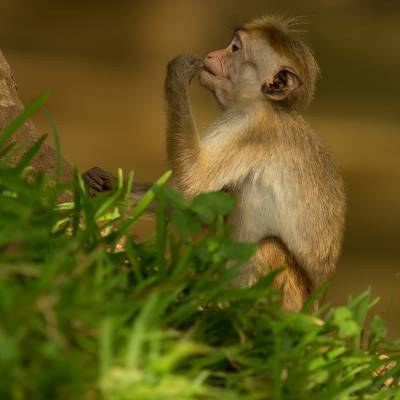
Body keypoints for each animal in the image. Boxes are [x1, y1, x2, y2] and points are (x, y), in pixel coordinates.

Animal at [83, 14, 344, 310]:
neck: (268, 105)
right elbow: (198, 206)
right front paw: (106, 185)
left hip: (292, 301)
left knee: (268, 247)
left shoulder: (250, 128)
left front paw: (177, 74)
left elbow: (195, 180)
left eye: (235, 49)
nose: (212, 54)